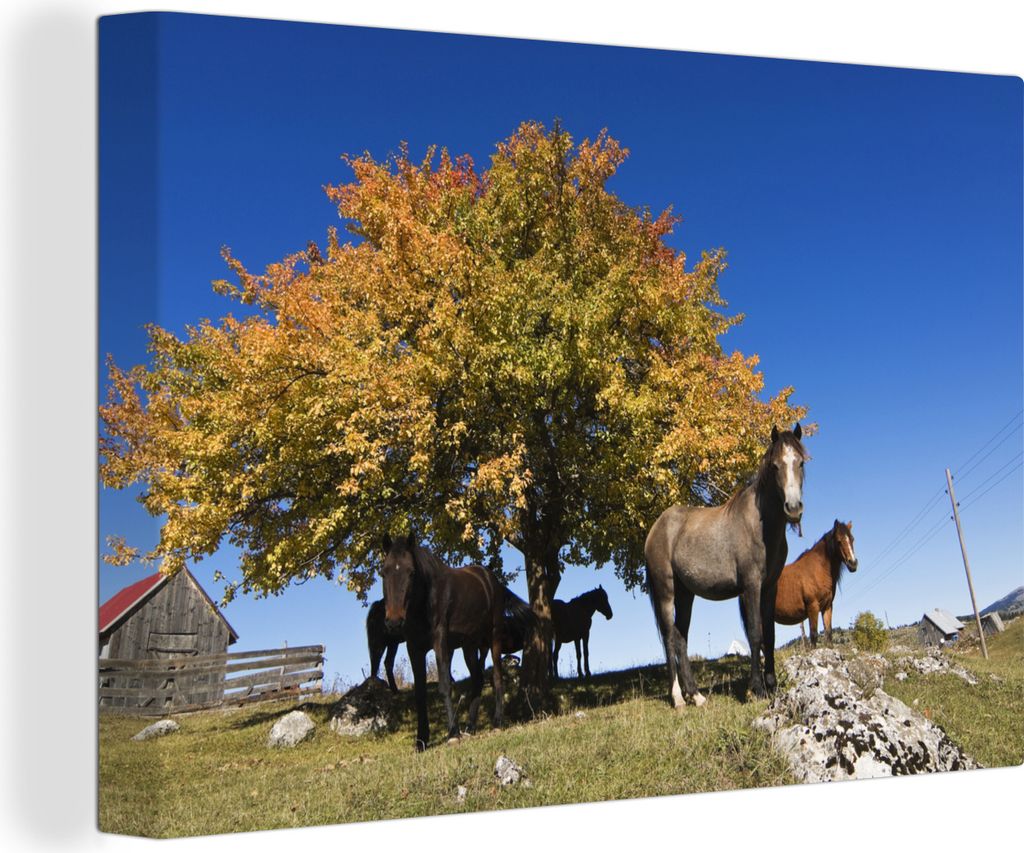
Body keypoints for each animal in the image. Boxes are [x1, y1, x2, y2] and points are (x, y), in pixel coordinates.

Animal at [380, 532, 534, 751]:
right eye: (383, 573)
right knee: (478, 679)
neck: (426, 599)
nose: (393, 622)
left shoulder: (440, 642)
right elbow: (420, 693)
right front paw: (421, 740)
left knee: (496, 677)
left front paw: (453, 733)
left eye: (411, 572)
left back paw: (497, 722)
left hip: (494, 639)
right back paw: (470, 727)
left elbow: (445, 685)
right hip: (470, 646)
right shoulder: (414, 648)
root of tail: (493, 581)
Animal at [645, 424, 808, 707]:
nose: (793, 508)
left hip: (686, 595)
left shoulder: (770, 587)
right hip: (666, 591)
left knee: (680, 637)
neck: (760, 525)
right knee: (668, 637)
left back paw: (696, 696)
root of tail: (656, 529)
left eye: (800, 462)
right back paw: (678, 698)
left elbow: (770, 634)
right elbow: (755, 633)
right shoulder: (751, 586)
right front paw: (757, 689)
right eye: (775, 465)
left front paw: (772, 685)